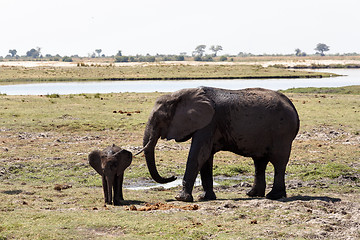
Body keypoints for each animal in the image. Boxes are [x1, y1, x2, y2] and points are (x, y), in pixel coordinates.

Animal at [139, 87, 300, 202]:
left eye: (160, 118)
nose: (172, 176)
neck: (181, 95)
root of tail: (292, 107)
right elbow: (206, 158)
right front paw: (205, 198)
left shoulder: (208, 123)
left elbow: (198, 154)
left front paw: (181, 198)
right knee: (259, 162)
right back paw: (253, 194)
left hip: (282, 133)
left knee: (278, 162)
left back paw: (273, 196)